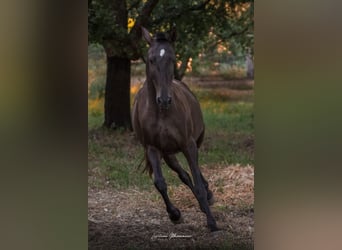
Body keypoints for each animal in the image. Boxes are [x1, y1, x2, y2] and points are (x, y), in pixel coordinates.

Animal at [132, 27, 218, 232]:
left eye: (173, 59)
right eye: (151, 59)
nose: (164, 100)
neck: (162, 113)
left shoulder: (188, 145)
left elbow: (198, 182)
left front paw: (212, 222)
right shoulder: (153, 149)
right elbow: (160, 183)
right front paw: (175, 214)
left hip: (194, 143)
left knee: (195, 173)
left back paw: (208, 197)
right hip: (168, 154)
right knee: (184, 175)